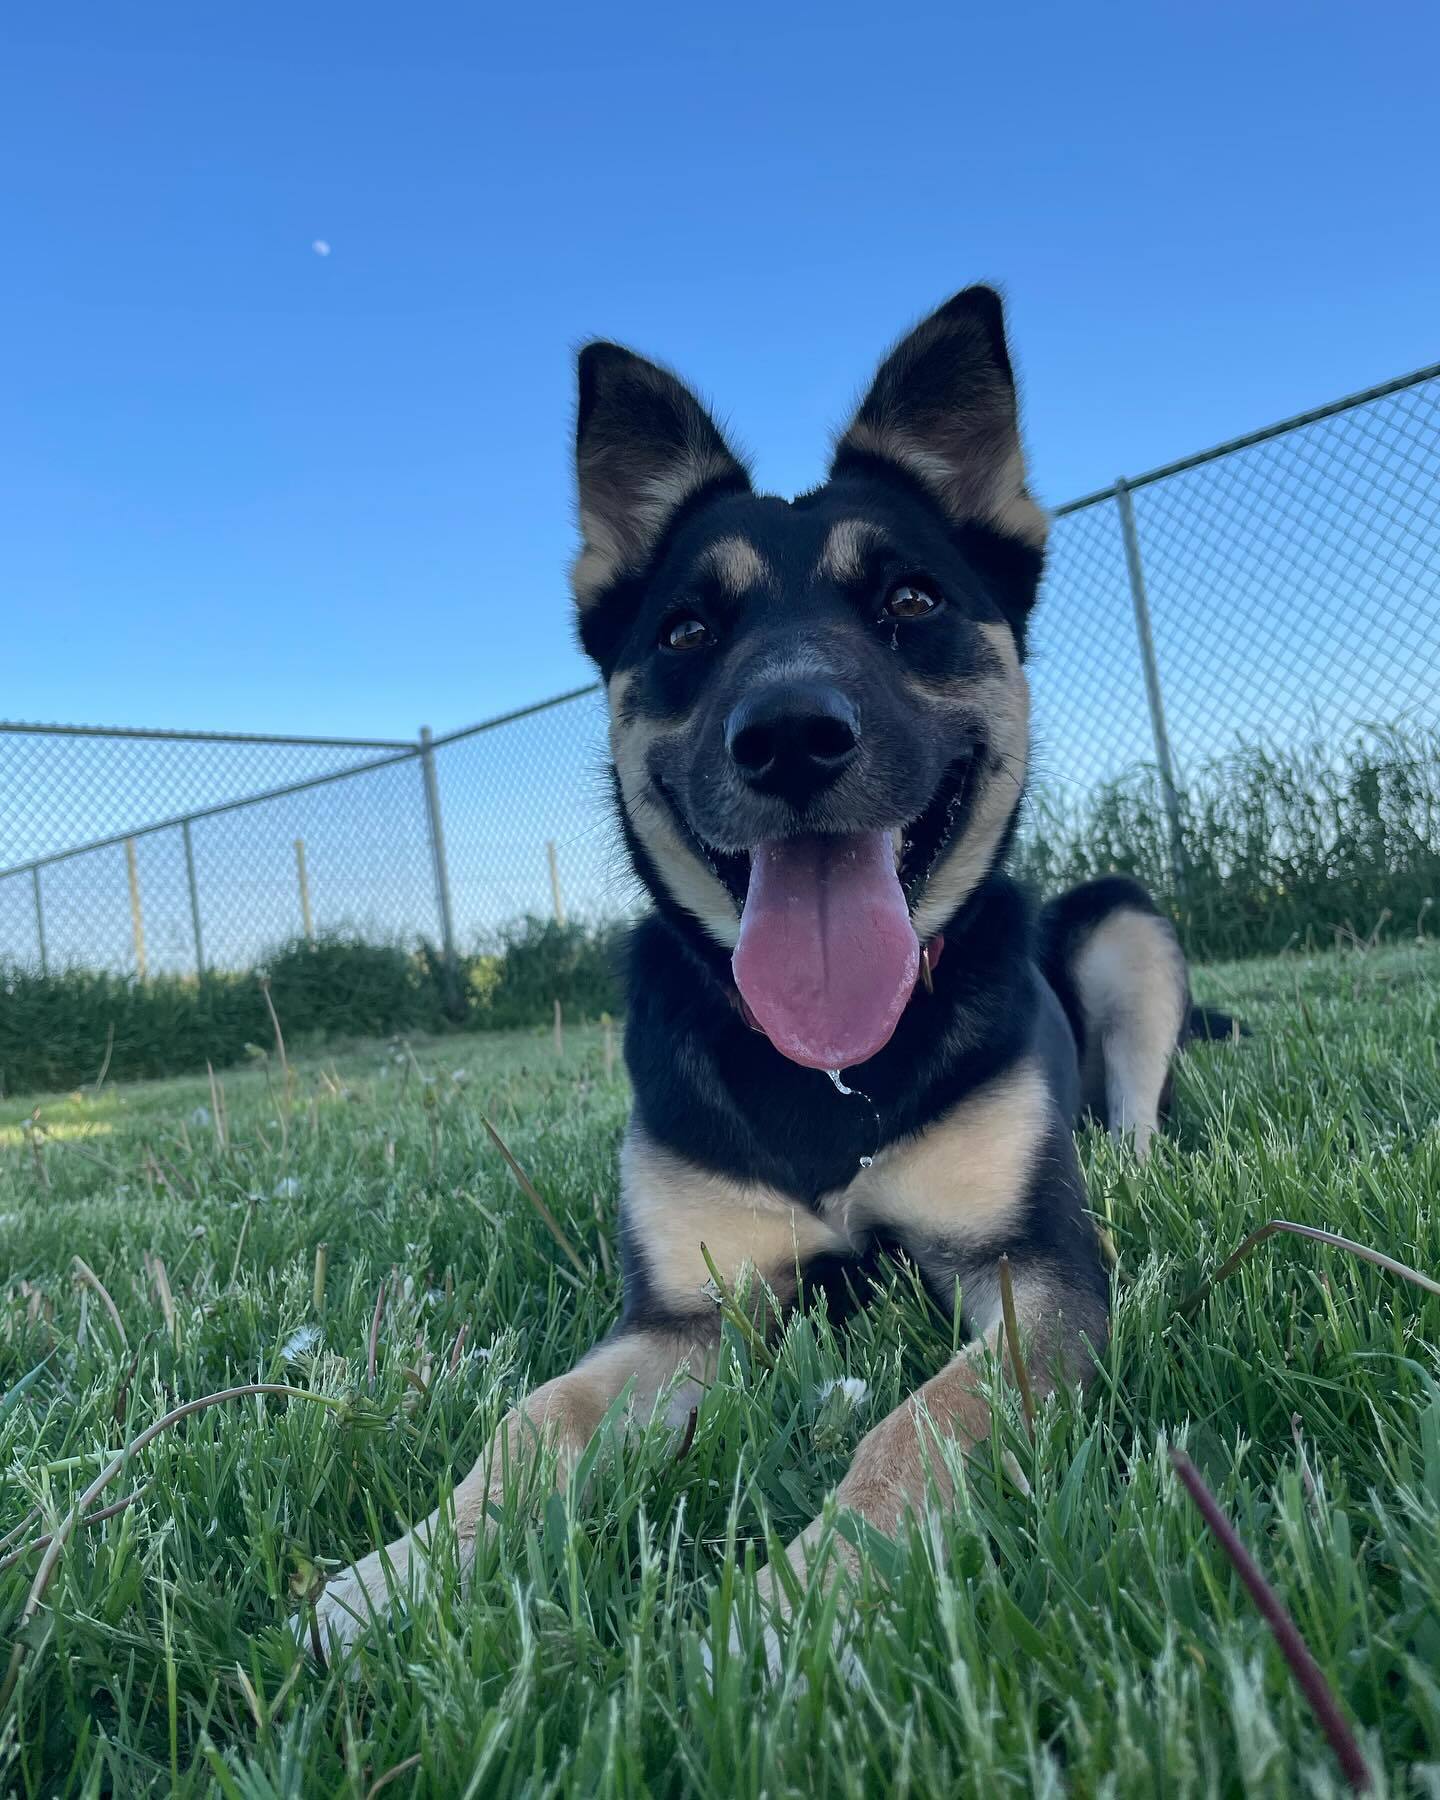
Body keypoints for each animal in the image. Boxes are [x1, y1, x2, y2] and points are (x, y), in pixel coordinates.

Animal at [306, 291, 1224, 1656]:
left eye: (909, 599)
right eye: (687, 629)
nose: (791, 737)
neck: (832, 1074)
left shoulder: (1037, 1275)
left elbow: (919, 1425)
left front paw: (803, 1602)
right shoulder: (690, 1315)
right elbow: (537, 1418)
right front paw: (404, 1570)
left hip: (1123, 926)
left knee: (1140, 1105)